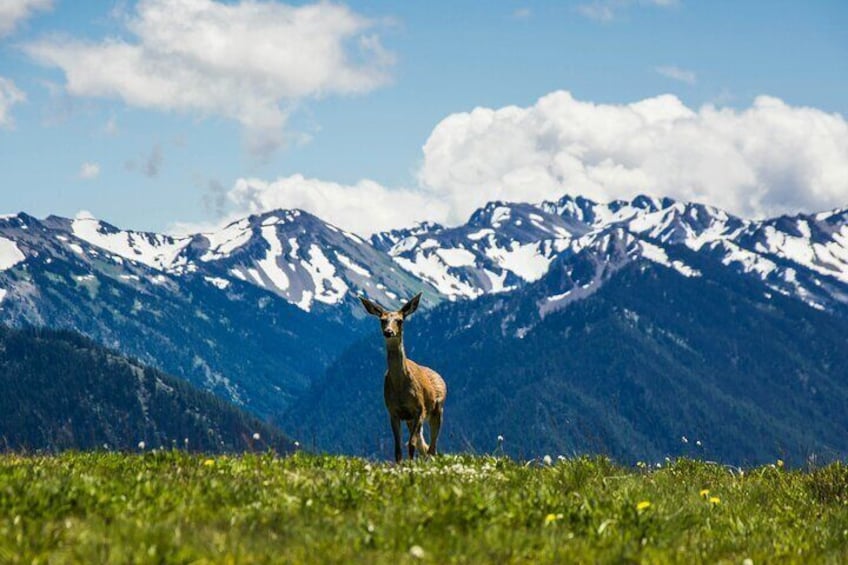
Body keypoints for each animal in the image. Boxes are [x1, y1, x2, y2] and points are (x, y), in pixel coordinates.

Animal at [359, 293, 446, 463]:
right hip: (412, 420)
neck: (401, 388)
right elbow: (398, 448)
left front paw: (410, 464)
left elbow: (410, 444)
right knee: (424, 446)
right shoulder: (393, 411)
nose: (388, 332)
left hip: (437, 409)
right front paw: (401, 464)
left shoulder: (419, 409)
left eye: (400, 320)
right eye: (382, 320)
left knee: (432, 447)